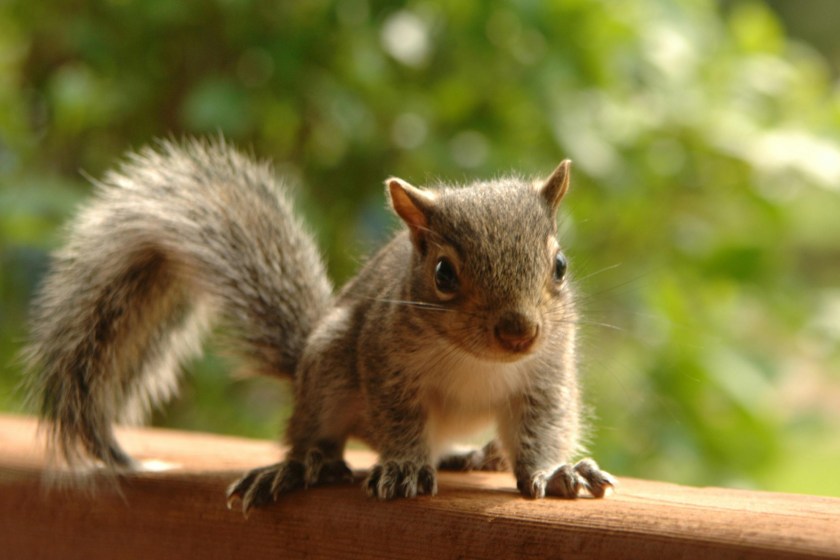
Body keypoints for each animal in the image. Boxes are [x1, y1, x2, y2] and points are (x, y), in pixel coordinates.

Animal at [23, 138, 615, 513]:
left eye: (559, 266)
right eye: (444, 274)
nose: (519, 333)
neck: (476, 360)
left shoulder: (546, 375)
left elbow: (542, 427)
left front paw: (553, 472)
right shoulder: (384, 359)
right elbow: (399, 419)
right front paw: (404, 466)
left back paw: (474, 455)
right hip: (329, 364)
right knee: (315, 435)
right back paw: (304, 467)